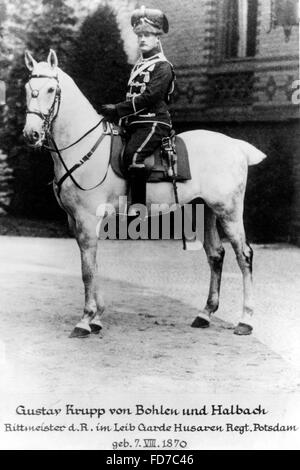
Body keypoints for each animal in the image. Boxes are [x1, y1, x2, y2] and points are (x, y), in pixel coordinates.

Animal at [23, 50, 266, 338]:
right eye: (27, 87)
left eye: (51, 89)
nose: (31, 134)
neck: (83, 145)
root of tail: (236, 146)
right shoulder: (75, 220)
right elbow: (93, 265)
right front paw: (97, 317)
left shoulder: (86, 219)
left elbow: (87, 270)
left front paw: (85, 319)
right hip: (205, 210)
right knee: (216, 255)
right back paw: (205, 314)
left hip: (228, 211)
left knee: (244, 255)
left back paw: (246, 320)